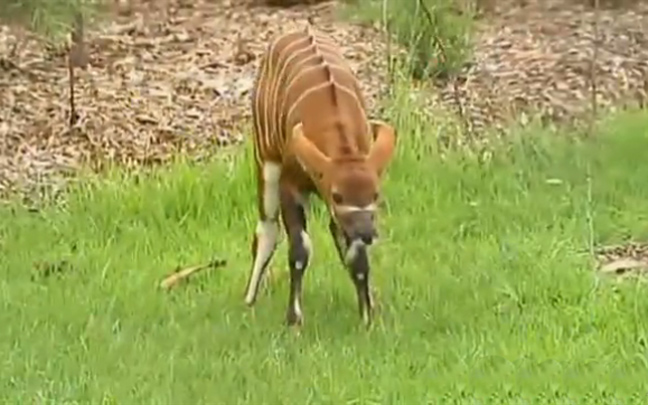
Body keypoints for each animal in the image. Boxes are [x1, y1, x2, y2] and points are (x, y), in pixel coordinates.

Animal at [242, 25, 394, 326]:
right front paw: (294, 318)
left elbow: (354, 254)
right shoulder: (291, 185)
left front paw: (367, 316)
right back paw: (250, 299)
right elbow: (300, 249)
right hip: (266, 160)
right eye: (338, 194)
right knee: (266, 226)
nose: (367, 233)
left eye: (375, 193)